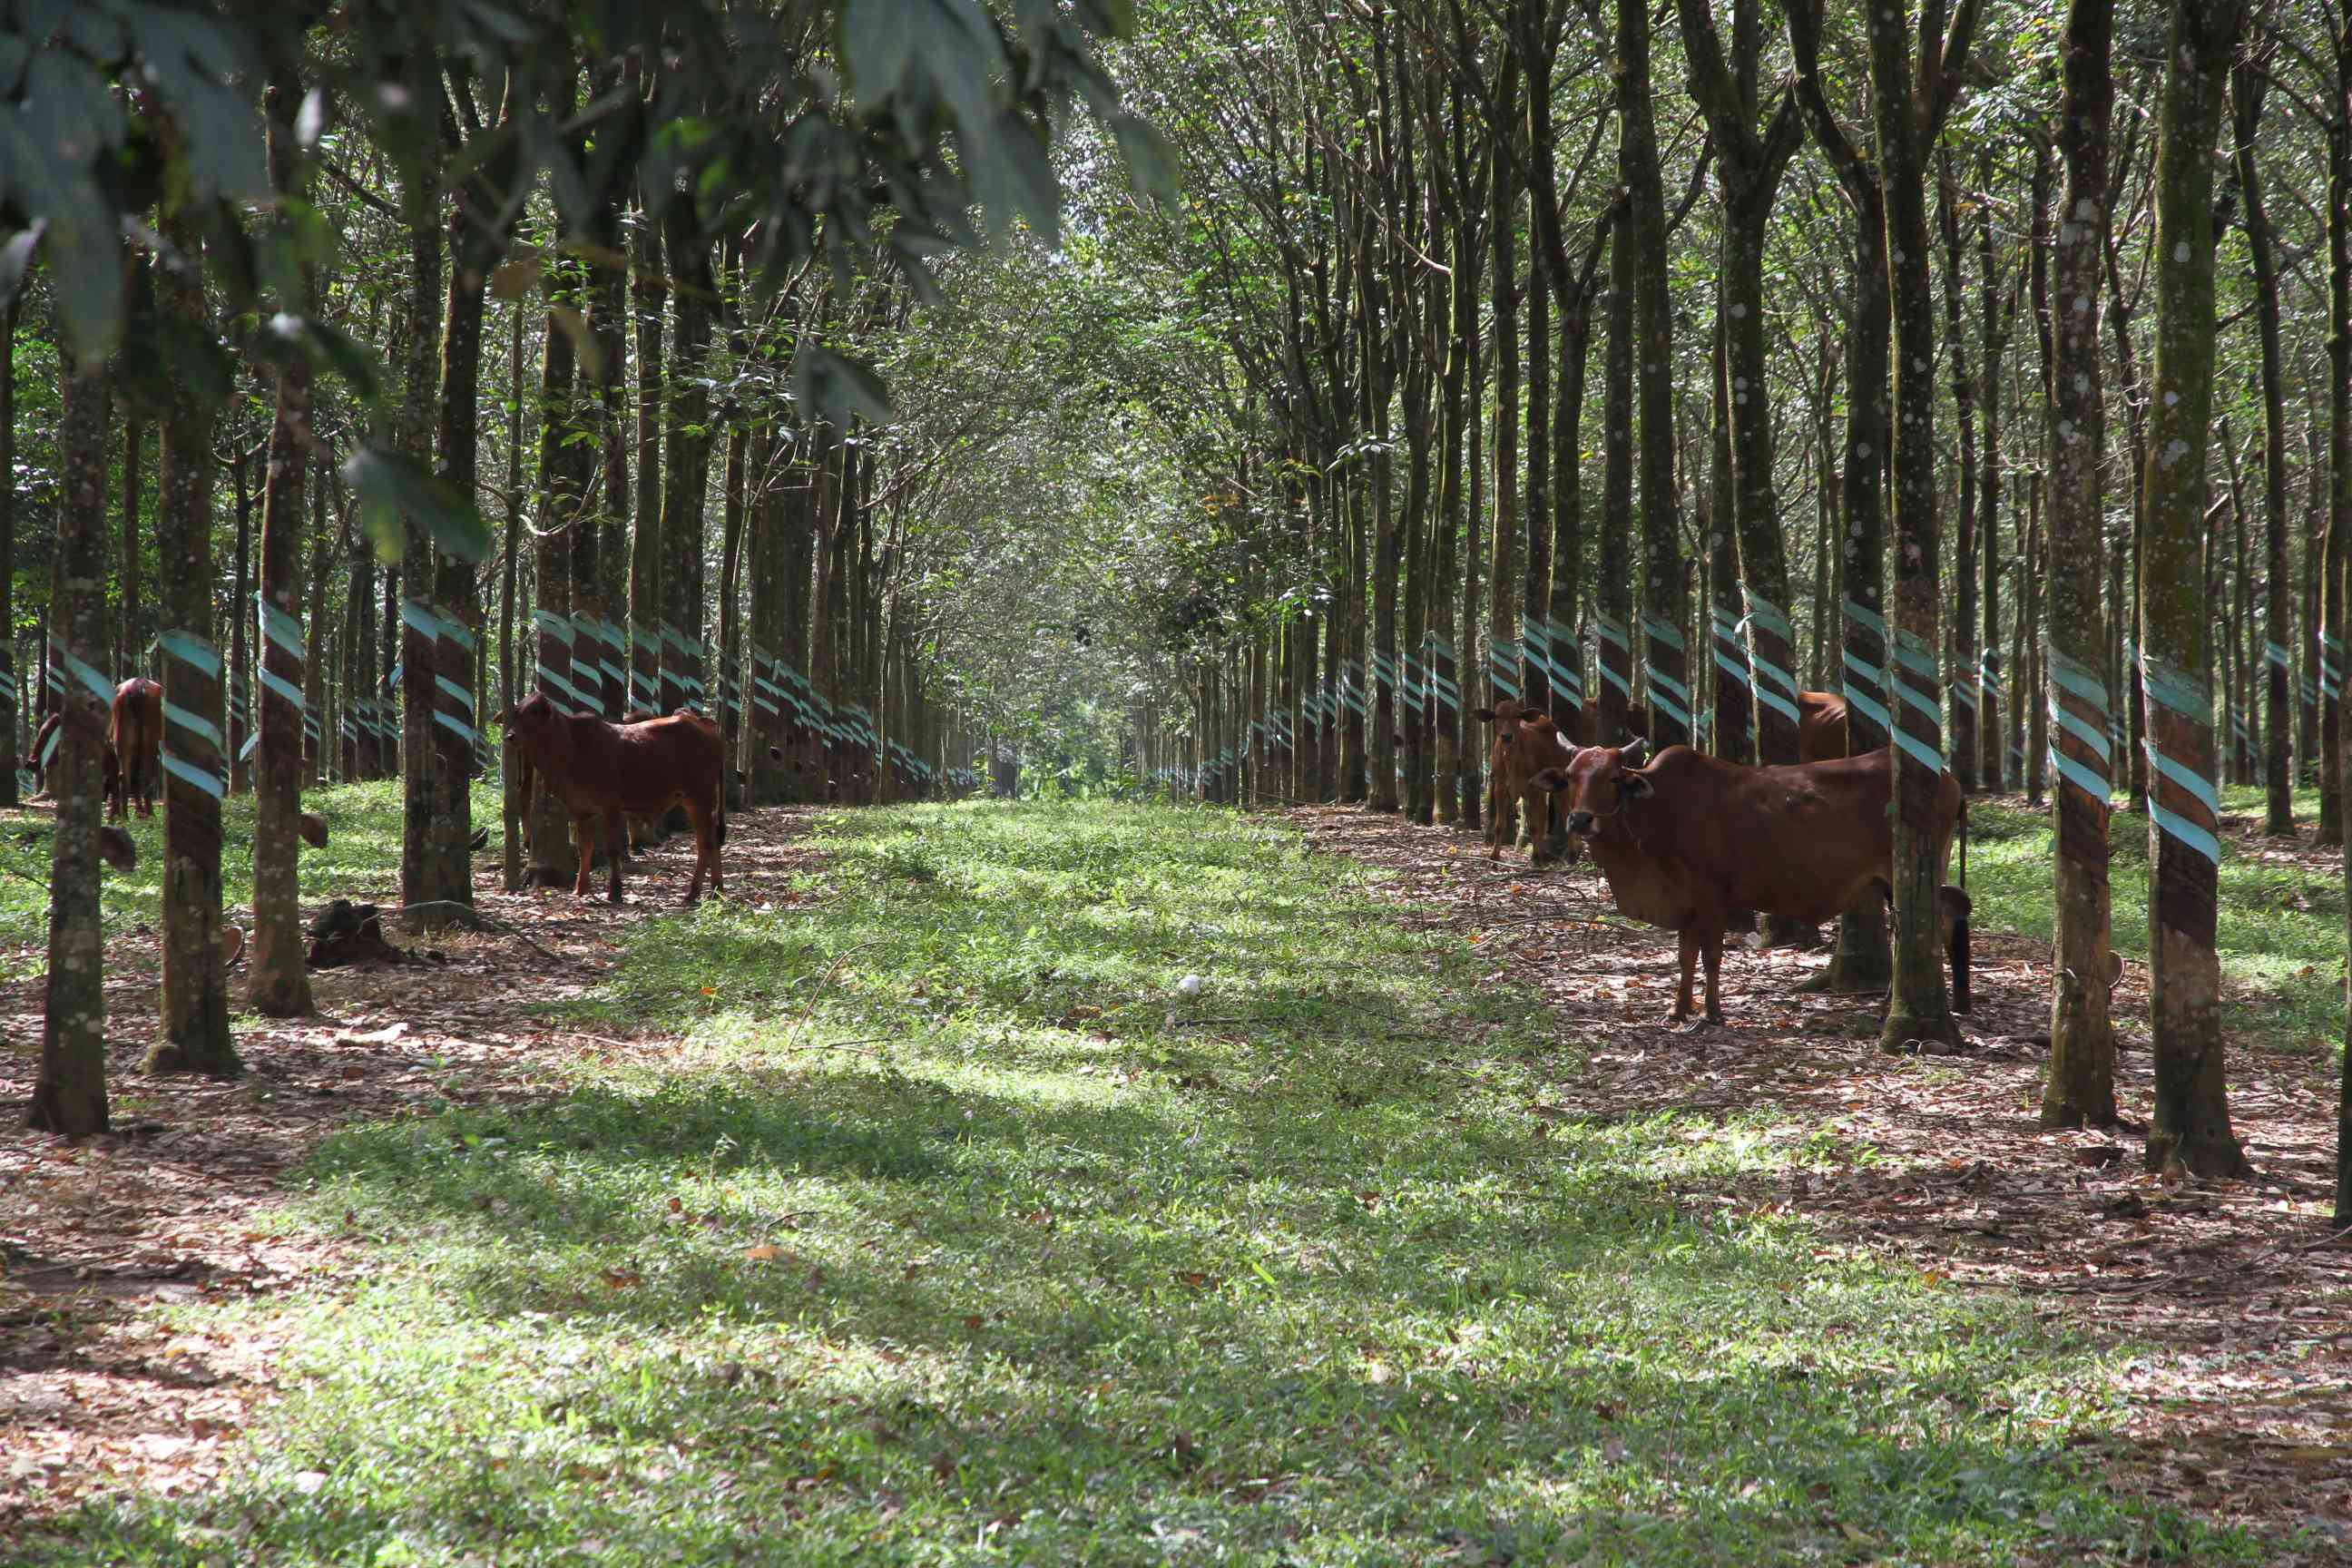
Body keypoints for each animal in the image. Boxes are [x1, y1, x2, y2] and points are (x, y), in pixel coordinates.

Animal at [107, 677, 162, 822]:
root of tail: (136, 688)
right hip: (149, 742)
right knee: (145, 776)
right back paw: (148, 814)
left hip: (123, 740)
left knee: (124, 776)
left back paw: (124, 816)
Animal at [494, 691, 714, 902]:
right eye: (517, 712)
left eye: (534, 713)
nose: (510, 736)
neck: (572, 748)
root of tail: (704, 727)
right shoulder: (580, 810)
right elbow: (584, 848)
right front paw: (580, 888)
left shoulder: (611, 807)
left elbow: (612, 849)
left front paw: (615, 891)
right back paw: (714, 888)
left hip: (700, 798)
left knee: (705, 843)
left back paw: (694, 892)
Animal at [1543, 747, 1965, 1029]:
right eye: (1571, 776)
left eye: (1613, 778)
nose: (1580, 820)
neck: (1658, 811)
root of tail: (1948, 777)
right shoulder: (1685, 903)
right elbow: (1685, 957)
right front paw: (1678, 1008)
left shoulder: (1712, 897)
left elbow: (1711, 957)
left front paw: (1712, 1013)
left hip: (1905, 871)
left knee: (1932, 926)